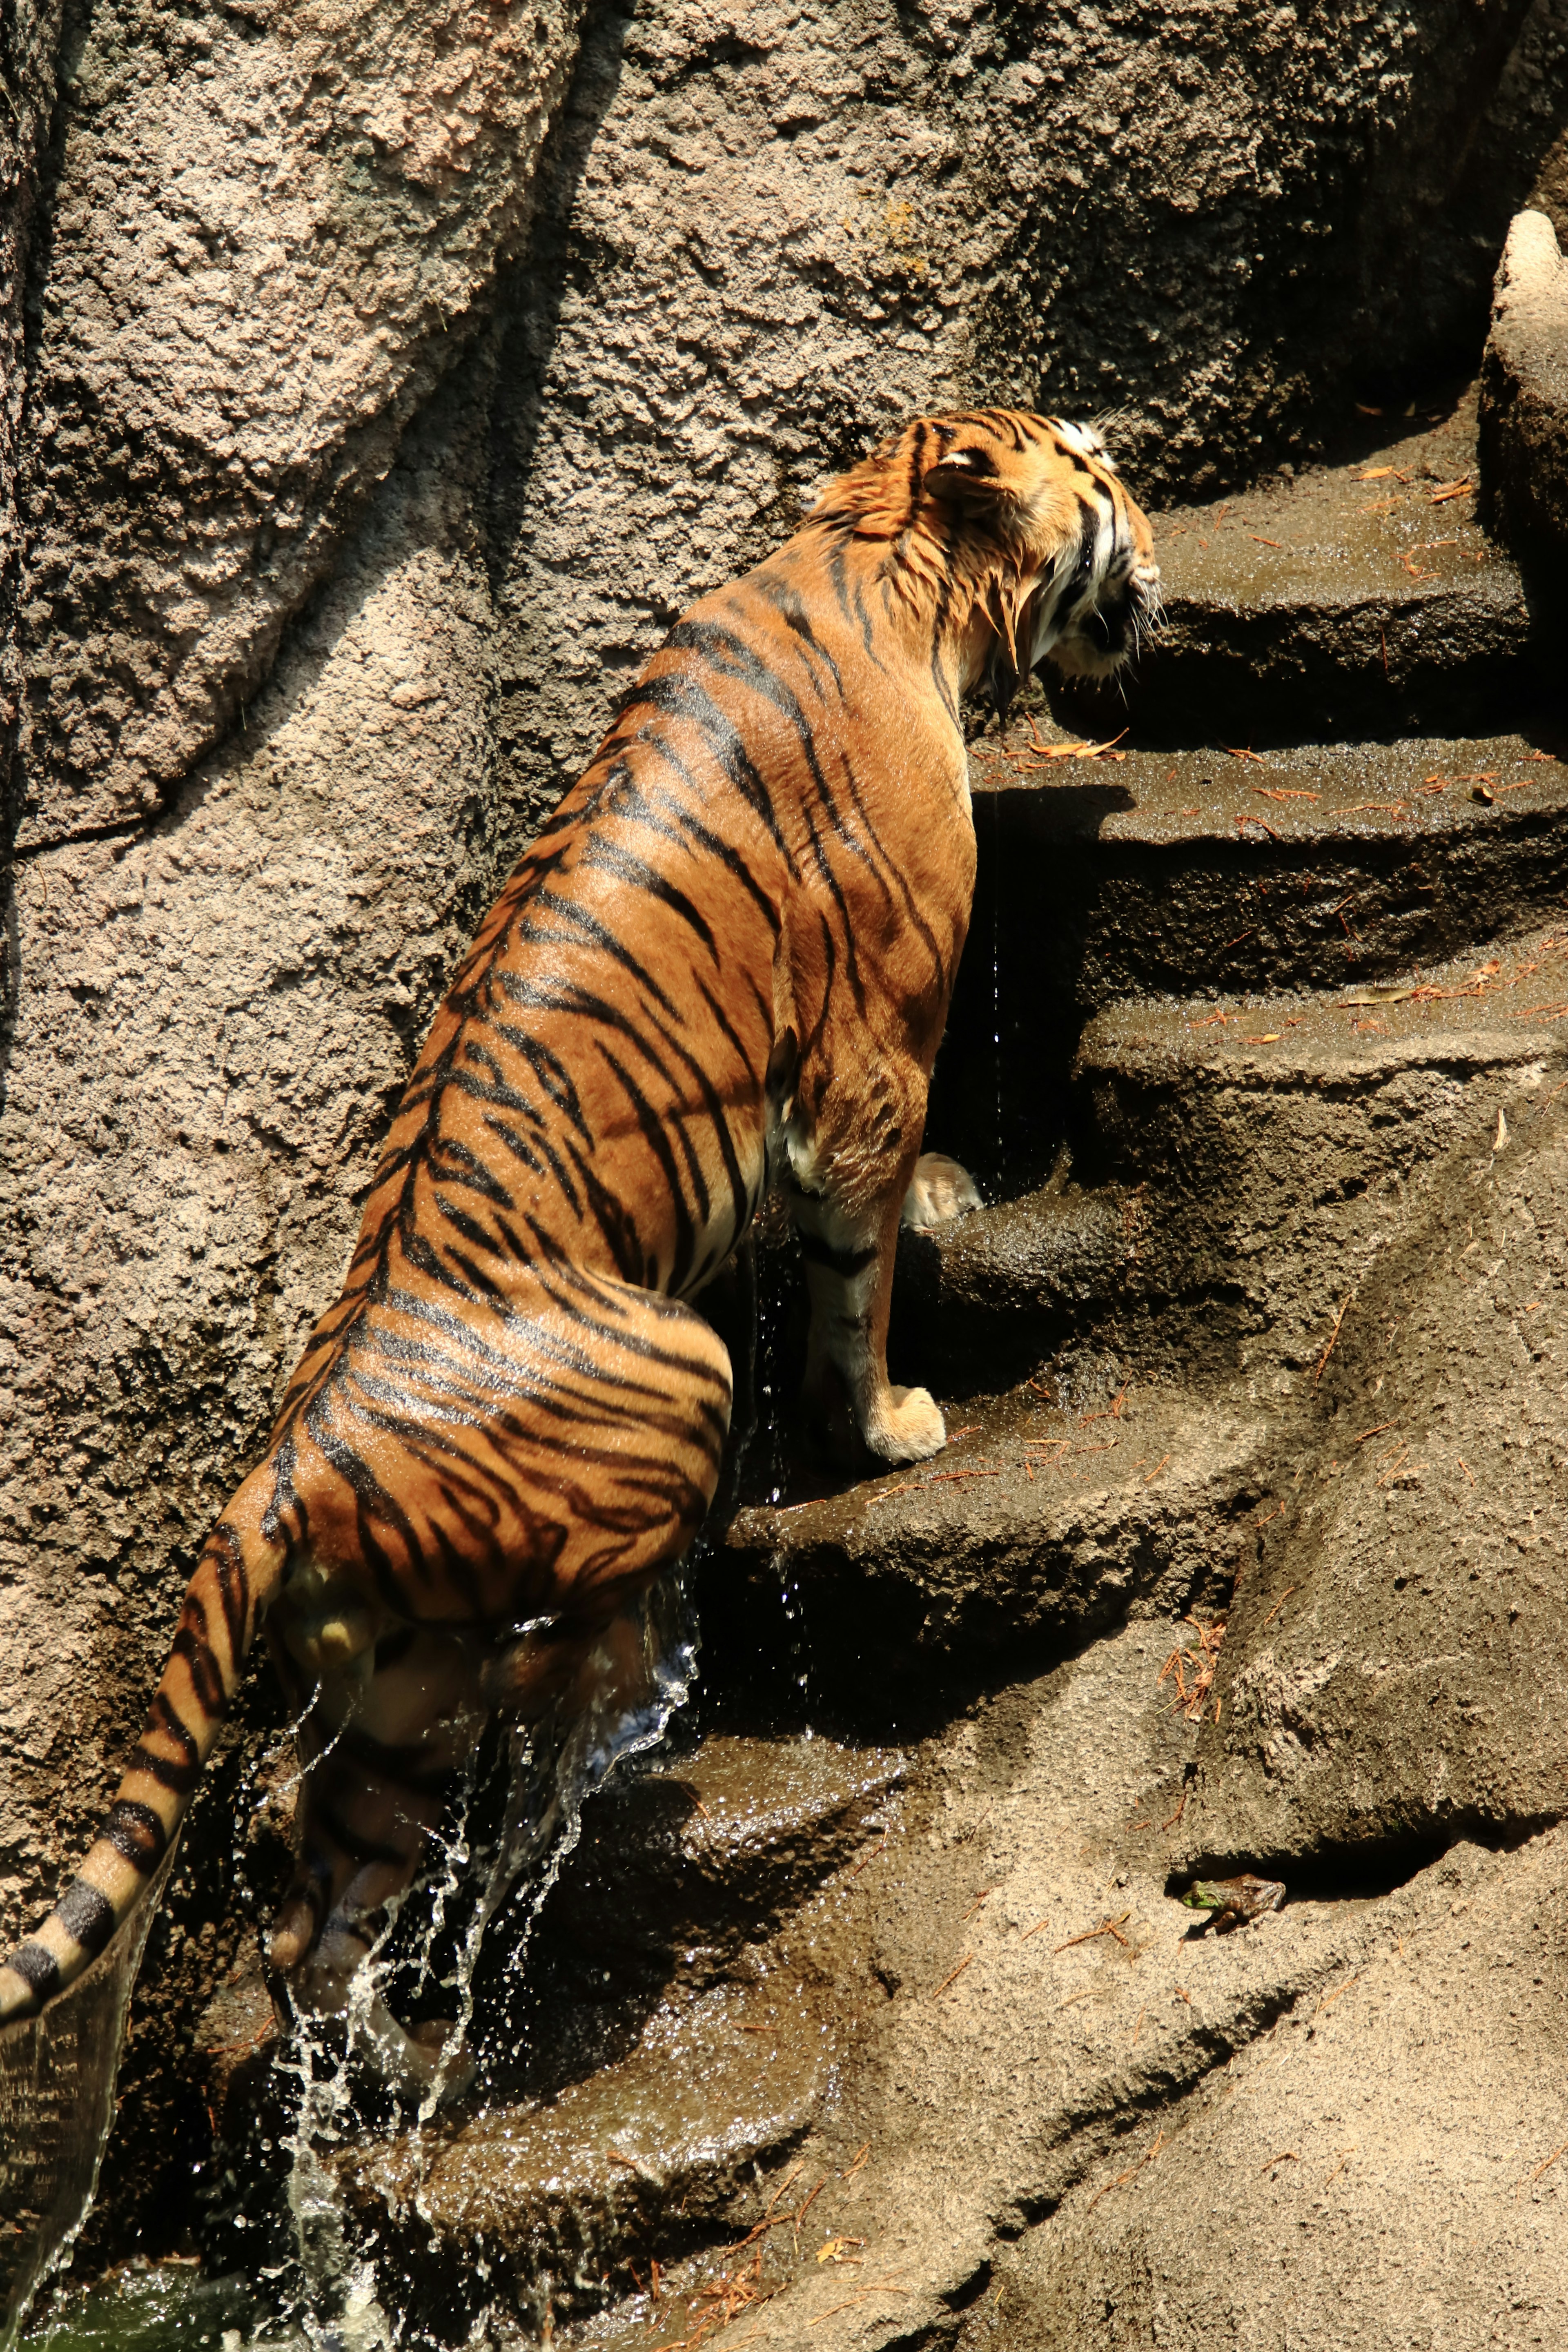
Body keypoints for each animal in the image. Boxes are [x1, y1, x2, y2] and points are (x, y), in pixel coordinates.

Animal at [0, 404, 1152, 2079]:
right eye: (1101, 474)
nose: (1155, 523)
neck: (881, 555)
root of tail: (287, 1455)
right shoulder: (874, 1053)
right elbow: (855, 1274)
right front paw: (888, 1418)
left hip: (388, 1677)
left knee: (316, 1878)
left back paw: (407, 2056)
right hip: (667, 1377)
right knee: (555, 1659)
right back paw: (626, 1704)